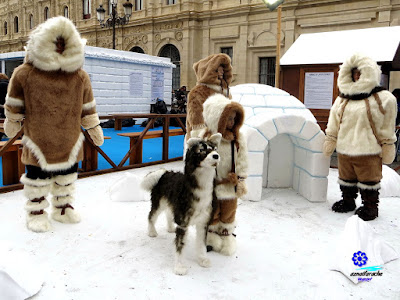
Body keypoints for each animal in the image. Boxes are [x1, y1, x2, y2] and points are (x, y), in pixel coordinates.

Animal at [141, 134, 222, 276]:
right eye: (201, 150)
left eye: (214, 149)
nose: (216, 156)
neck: (201, 189)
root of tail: (165, 173)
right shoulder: (183, 224)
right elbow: (180, 247)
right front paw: (179, 267)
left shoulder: (203, 223)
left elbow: (201, 245)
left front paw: (202, 259)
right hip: (159, 203)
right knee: (151, 215)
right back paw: (152, 231)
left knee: (169, 214)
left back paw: (170, 228)